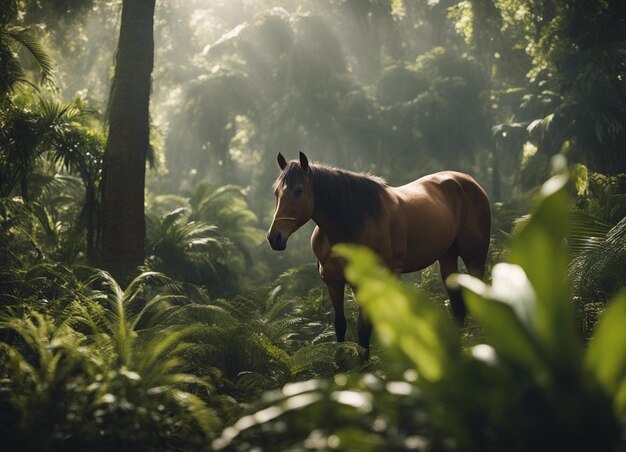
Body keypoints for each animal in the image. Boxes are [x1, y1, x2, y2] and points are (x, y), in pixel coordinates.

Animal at [266, 152, 490, 356]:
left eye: (298, 191)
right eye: (276, 193)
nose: (274, 237)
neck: (352, 222)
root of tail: (468, 181)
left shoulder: (368, 282)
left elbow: (364, 331)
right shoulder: (333, 282)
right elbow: (340, 327)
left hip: (475, 258)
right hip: (447, 258)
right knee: (458, 309)